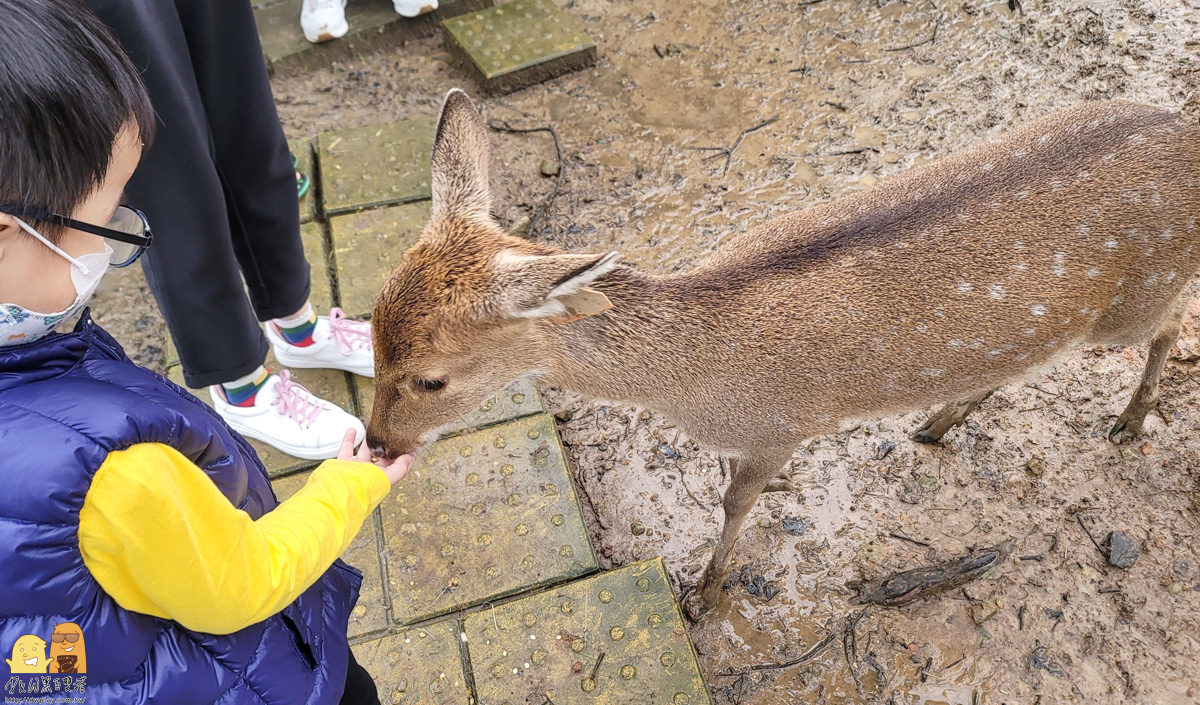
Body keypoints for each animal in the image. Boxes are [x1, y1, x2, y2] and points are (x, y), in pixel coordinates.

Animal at [364, 89, 1200, 618]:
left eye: (431, 378)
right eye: (368, 330)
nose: (375, 443)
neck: (692, 380)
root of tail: (1186, 132)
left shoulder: (779, 426)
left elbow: (734, 502)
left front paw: (705, 595)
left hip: (1138, 297)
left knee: (1171, 326)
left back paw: (1129, 420)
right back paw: (937, 422)